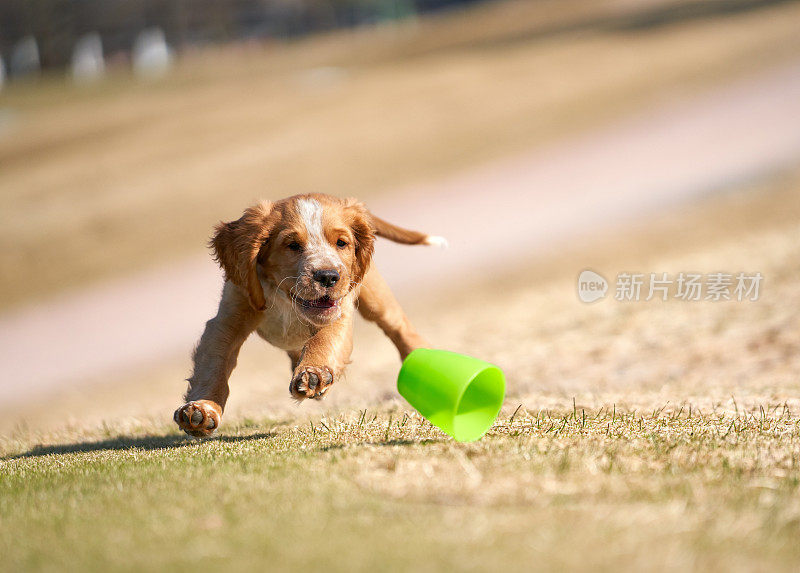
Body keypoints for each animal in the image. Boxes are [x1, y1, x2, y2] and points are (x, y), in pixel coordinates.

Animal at [173, 191, 444, 434]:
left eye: (341, 243)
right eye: (292, 245)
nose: (328, 276)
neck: (287, 301)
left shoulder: (338, 311)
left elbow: (324, 340)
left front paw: (314, 374)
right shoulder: (228, 319)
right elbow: (214, 366)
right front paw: (202, 409)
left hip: (374, 297)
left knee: (399, 327)